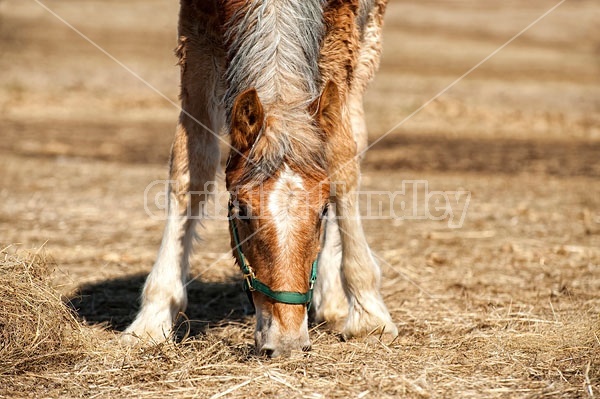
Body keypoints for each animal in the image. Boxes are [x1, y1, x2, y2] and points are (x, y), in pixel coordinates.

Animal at [122, 0, 396, 356]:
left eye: (323, 211)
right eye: (241, 211)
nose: (287, 342)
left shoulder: (342, 37)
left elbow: (342, 166)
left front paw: (369, 315)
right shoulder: (196, 35)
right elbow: (190, 170)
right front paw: (153, 318)